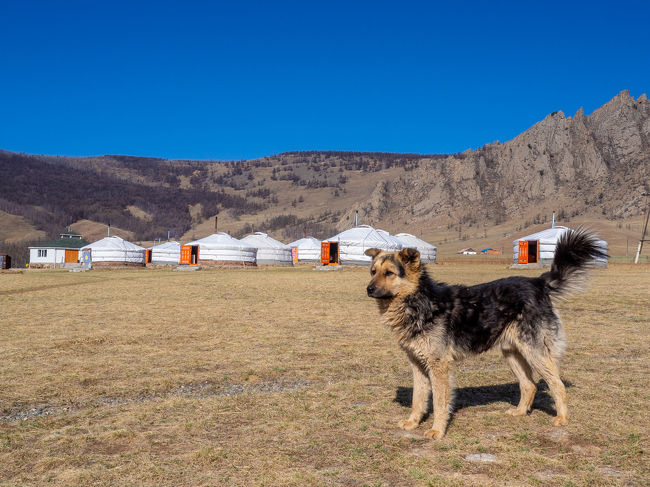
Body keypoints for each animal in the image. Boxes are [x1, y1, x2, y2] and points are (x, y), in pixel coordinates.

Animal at [364, 229, 604, 438]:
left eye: (389, 273)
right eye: (373, 272)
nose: (368, 289)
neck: (419, 302)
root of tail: (538, 282)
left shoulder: (439, 366)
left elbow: (440, 402)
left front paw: (437, 431)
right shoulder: (418, 364)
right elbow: (418, 398)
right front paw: (413, 422)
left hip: (535, 353)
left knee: (557, 385)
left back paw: (562, 418)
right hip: (512, 353)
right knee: (530, 385)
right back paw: (520, 412)